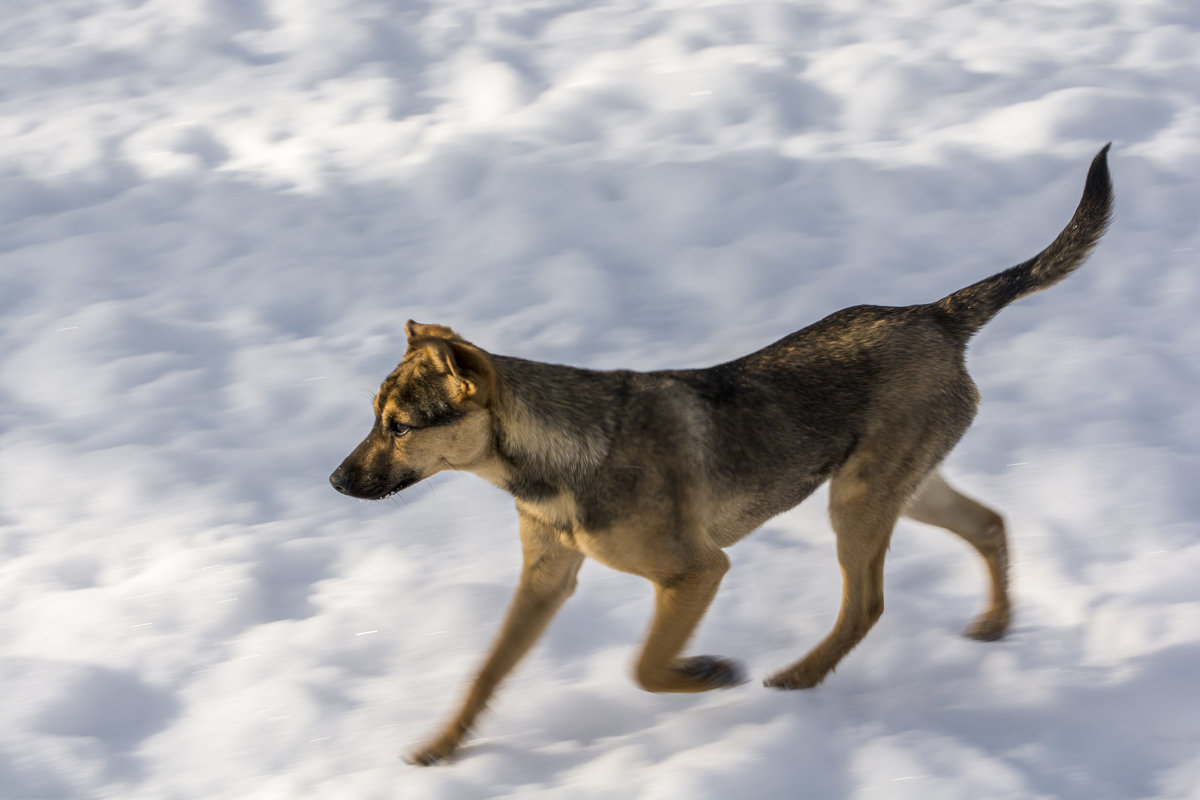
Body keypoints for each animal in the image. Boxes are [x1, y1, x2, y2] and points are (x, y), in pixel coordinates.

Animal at [331, 146, 1113, 767]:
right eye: (375, 419)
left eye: (399, 426)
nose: (335, 481)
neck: (549, 463)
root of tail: (937, 314)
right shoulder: (545, 580)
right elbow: (486, 672)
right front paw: (441, 746)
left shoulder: (697, 570)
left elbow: (645, 666)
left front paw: (710, 672)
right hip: (903, 485)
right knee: (989, 525)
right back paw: (995, 624)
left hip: (860, 498)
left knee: (868, 603)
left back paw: (798, 677)